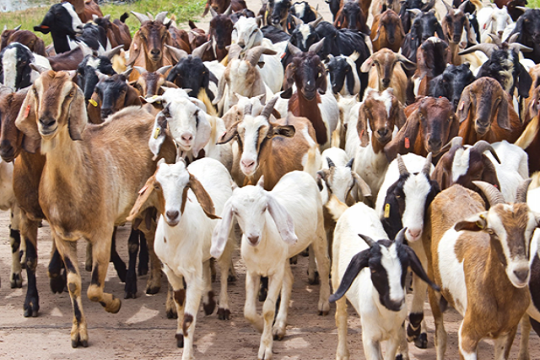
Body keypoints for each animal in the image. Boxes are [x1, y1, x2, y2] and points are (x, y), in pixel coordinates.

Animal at [14, 69, 175, 346]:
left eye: (69, 92)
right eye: (35, 89)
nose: (46, 121)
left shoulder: (102, 232)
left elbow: (94, 289)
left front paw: (114, 304)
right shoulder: (61, 236)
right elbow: (74, 283)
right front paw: (78, 333)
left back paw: (172, 306)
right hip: (143, 208)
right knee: (152, 235)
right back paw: (154, 283)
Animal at [127, 159, 235, 358]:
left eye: (186, 186)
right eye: (157, 186)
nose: (172, 214)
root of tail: (210, 159)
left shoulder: (191, 276)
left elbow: (188, 318)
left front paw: (187, 353)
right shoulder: (170, 271)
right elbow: (178, 302)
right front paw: (178, 335)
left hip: (226, 239)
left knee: (223, 270)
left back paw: (223, 307)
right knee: (206, 265)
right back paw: (208, 302)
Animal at [210, 172, 330, 360]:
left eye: (264, 208)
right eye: (235, 211)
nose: (253, 237)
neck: (261, 248)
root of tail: (301, 172)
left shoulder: (275, 272)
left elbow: (267, 309)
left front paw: (265, 347)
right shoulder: (253, 272)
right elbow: (248, 310)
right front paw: (260, 326)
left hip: (318, 231)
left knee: (324, 265)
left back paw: (324, 304)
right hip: (284, 257)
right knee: (289, 279)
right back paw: (279, 326)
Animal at [426, 181, 536, 360]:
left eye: (532, 229)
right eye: (492, 231)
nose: (521, 273)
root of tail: (455, 187)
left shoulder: (507, 333)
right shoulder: (467, 337)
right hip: (433, 284)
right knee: (440, 337)